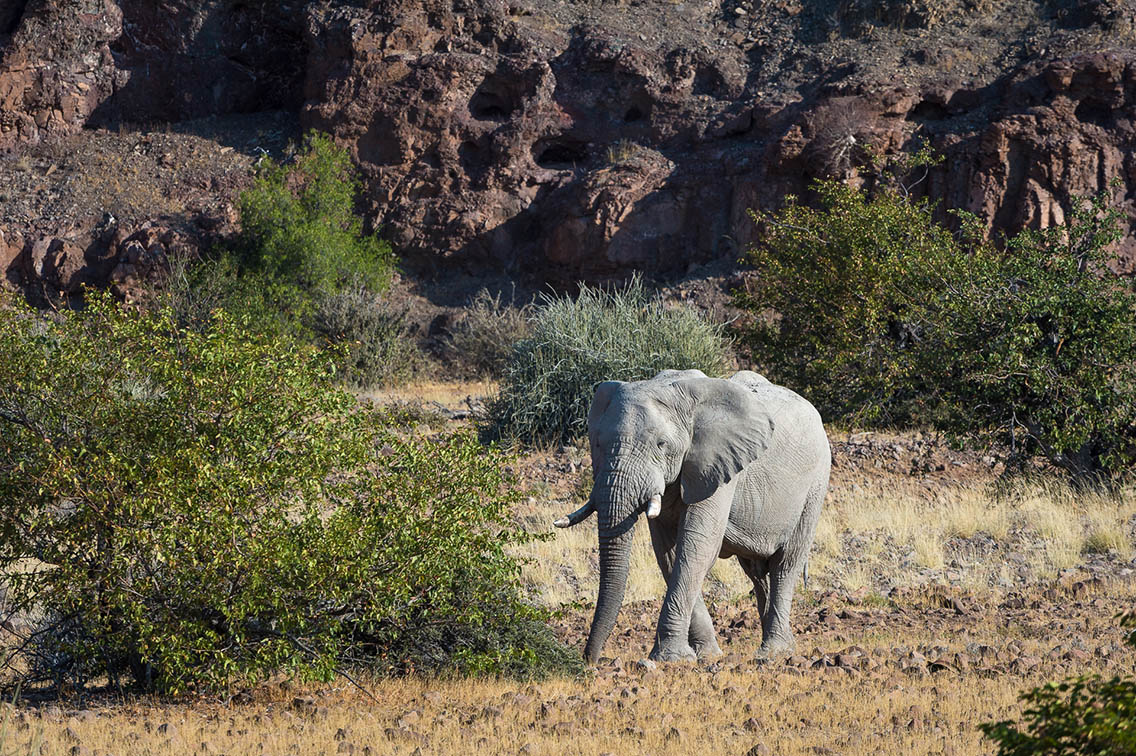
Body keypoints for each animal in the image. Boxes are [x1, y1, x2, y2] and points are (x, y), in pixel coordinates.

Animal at [554, 369, 830, 663]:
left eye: (661, 444)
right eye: (597, 444)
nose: (591, 661)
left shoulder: (716, 465)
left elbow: (697, 547)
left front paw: (669, 659)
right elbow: (669, 553)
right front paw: (705, 654)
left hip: (815, 484)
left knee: (785, 564)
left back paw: (774, 652)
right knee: (757, 573)